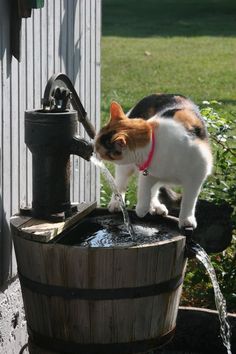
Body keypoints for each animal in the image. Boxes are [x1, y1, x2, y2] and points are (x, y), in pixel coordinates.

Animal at [95, 92, 213, 228]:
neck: (155, 143)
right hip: (125, 169)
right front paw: (141, 209)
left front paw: (186, 220)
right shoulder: (147, 172)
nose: (93, 150)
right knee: (120, 184)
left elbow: (189, 200)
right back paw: (116, 203)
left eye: (98, 148)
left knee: (155, 188)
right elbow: (144, 189)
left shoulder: (197, 175)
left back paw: (156, 207)